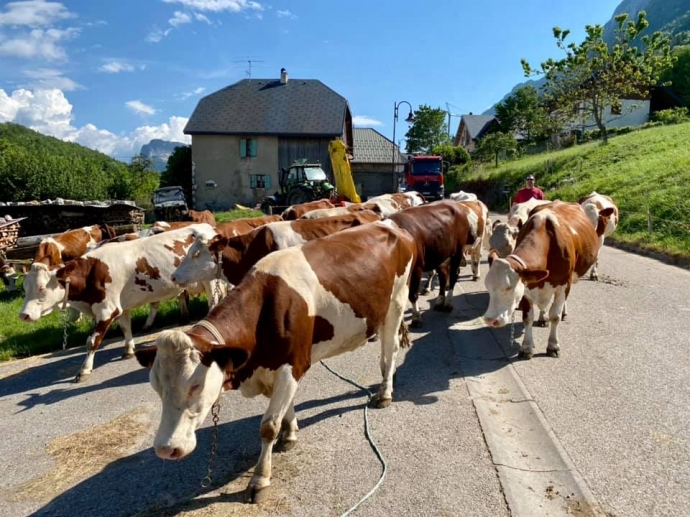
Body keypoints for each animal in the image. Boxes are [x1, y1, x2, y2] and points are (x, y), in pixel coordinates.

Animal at [18, 224, 219, 380]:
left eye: (41, 288)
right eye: (25, 288)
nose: (23, 315)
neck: (92, 273)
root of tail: (207, 227)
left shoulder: (107, 310)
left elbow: (92, 341)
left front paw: (84, 370)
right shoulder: (121, 307)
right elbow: (125, 327)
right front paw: (128, 350)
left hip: (210, 281)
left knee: (213, 303)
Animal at [134, 221, 414, 500]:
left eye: (195, 386)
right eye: (157, 388)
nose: (166, 448)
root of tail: (390, 224)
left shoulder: (293, 365)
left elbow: (268, 426)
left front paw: (260, 479)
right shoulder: (271, 369)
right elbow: (284, 409)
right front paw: (289, 435)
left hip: (397, 302)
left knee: (391, 348)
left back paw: (385, 393)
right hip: (377, 311)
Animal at [478, 202, 596, 358]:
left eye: (509, 287)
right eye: (488, 287)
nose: (490, 320)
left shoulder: (564, 283)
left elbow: (555, 316)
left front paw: (553, 345)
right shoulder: (527, 286)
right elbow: (527, 318)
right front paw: (526, 347)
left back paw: (562, 312)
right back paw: (542, 317)